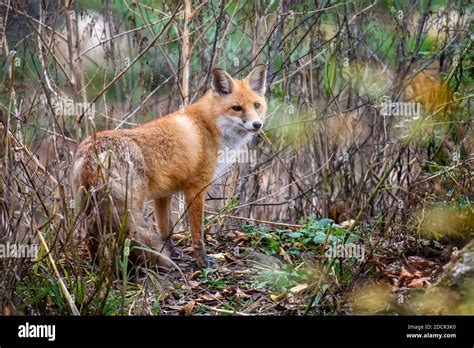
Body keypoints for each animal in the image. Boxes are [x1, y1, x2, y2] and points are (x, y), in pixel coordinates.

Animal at [70, 65, 266, 268]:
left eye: (256, 106)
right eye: (237, 108)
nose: (257, 124)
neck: (209, 126)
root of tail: (92, 150)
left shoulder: (163, 194)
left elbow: (166, 229)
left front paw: (172, 253)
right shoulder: (196, 188)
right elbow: (197, 234)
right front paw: (202, 261)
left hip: (89, 205)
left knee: (91, 237)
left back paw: (97, 264)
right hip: (132, 204)